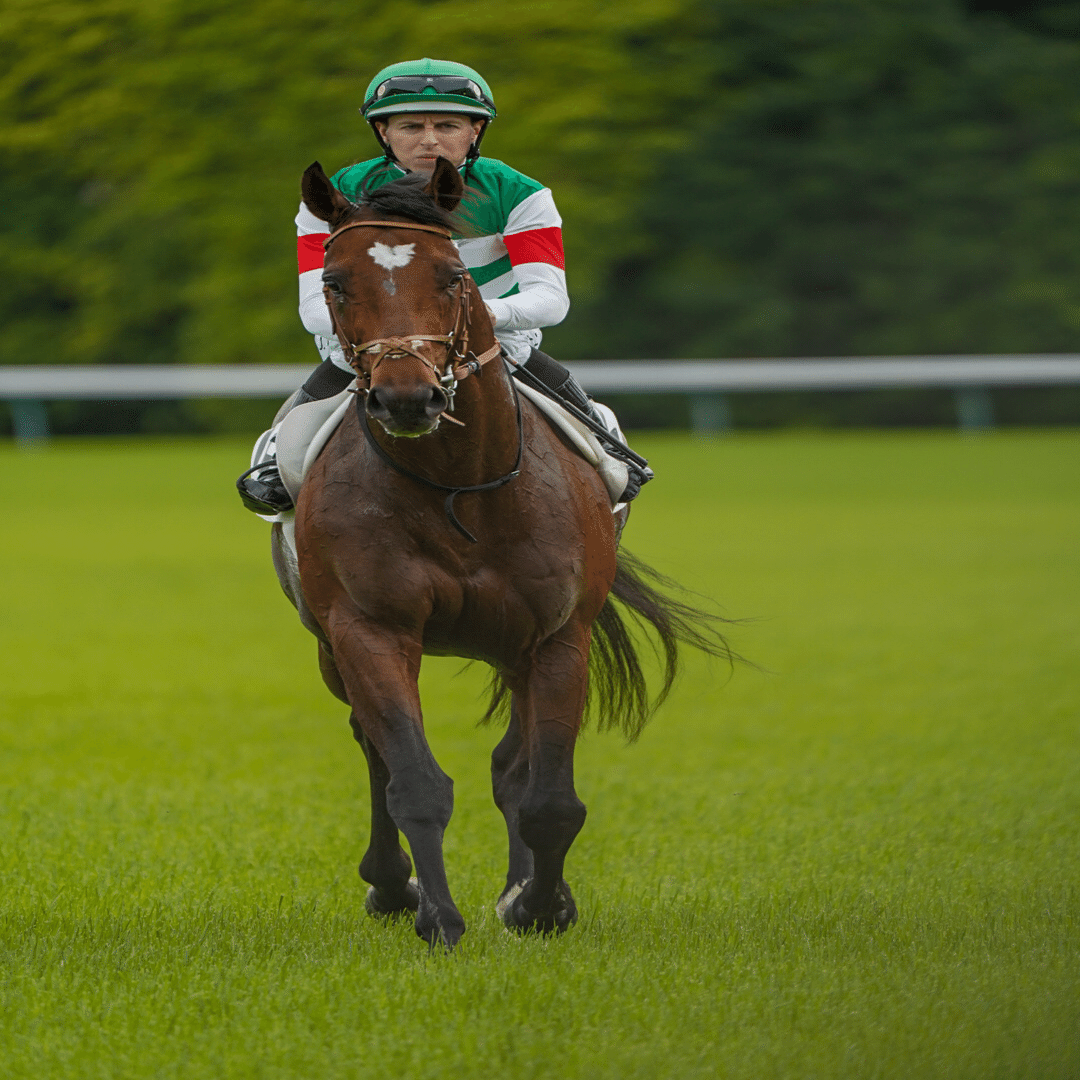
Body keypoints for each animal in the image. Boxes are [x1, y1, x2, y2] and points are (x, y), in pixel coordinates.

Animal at [271, 156, 731, 949]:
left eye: (454, 275)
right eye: (334, 281)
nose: (407, 397)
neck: (460, 485)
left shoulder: (556, 634)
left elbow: (546, 795)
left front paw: (539, 904)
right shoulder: (369, 629)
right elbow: (414, 781)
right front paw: (439, 916)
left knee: (512, 764)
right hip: (332, 642)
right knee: (373, 748)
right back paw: (391, 886)